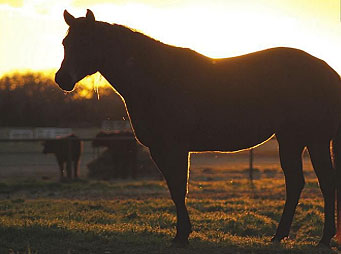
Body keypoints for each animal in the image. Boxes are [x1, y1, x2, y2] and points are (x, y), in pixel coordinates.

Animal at [54, 9, 340, 246]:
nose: (62, 79)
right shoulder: (160, 149)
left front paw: (182, 236)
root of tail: (328, 71)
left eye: (85, 42)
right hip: (292, 139)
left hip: (313, 139)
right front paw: (182, 233)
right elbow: (174, 188)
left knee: (326, 182)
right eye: (66, 43)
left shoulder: (175, 147)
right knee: (296, 183)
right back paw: (280, 235)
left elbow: (180, 187)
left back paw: (324, 239)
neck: (157, 77)